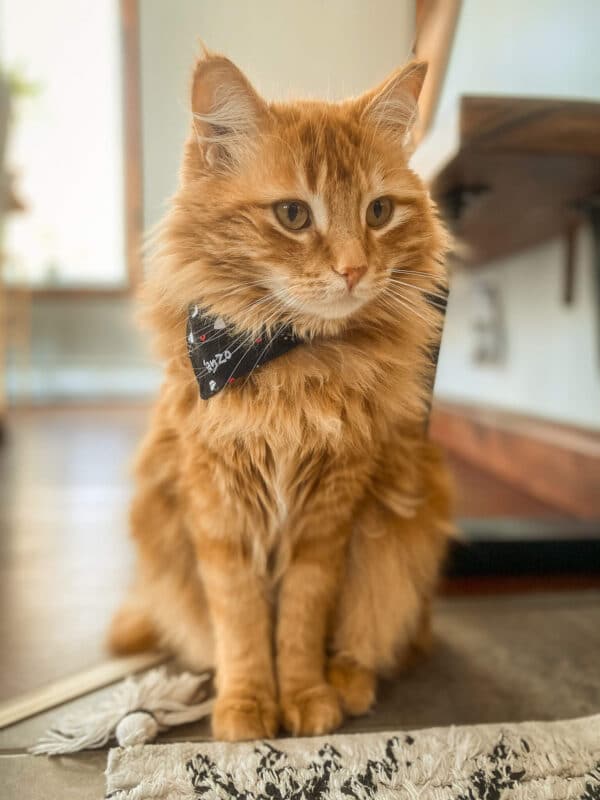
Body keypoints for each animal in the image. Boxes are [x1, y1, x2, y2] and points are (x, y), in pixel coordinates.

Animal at [110, 51, 452, 744]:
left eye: (379, 212)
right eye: (294, 215)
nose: (354, 270)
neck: (292, 371)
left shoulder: (329, 521)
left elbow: (299, 622)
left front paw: (305, 698)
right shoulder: (218, 516)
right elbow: (241, 625)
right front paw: (246, 707)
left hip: (403, 532)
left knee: (378, 635)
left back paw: (349, 682)